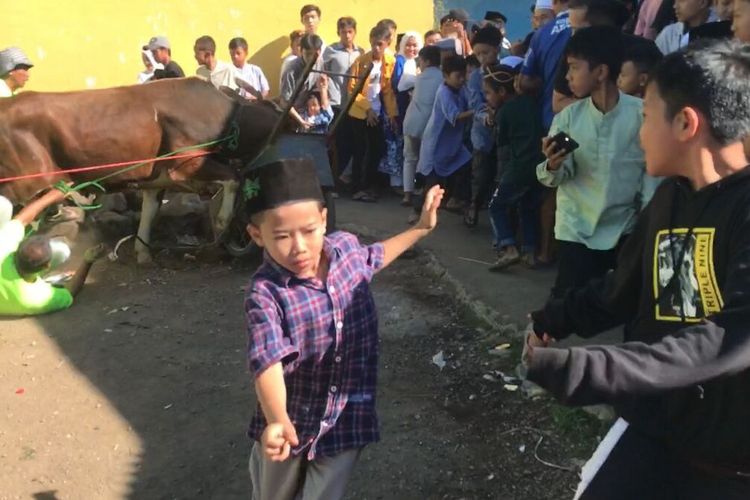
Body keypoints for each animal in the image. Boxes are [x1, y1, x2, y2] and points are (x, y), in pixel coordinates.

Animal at [0, 76, 282, 264]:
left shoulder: (156, 181)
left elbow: (149, 212)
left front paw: (142, 251)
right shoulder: (187, 162)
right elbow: (233, 179)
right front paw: (224, 221)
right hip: (25, 185)